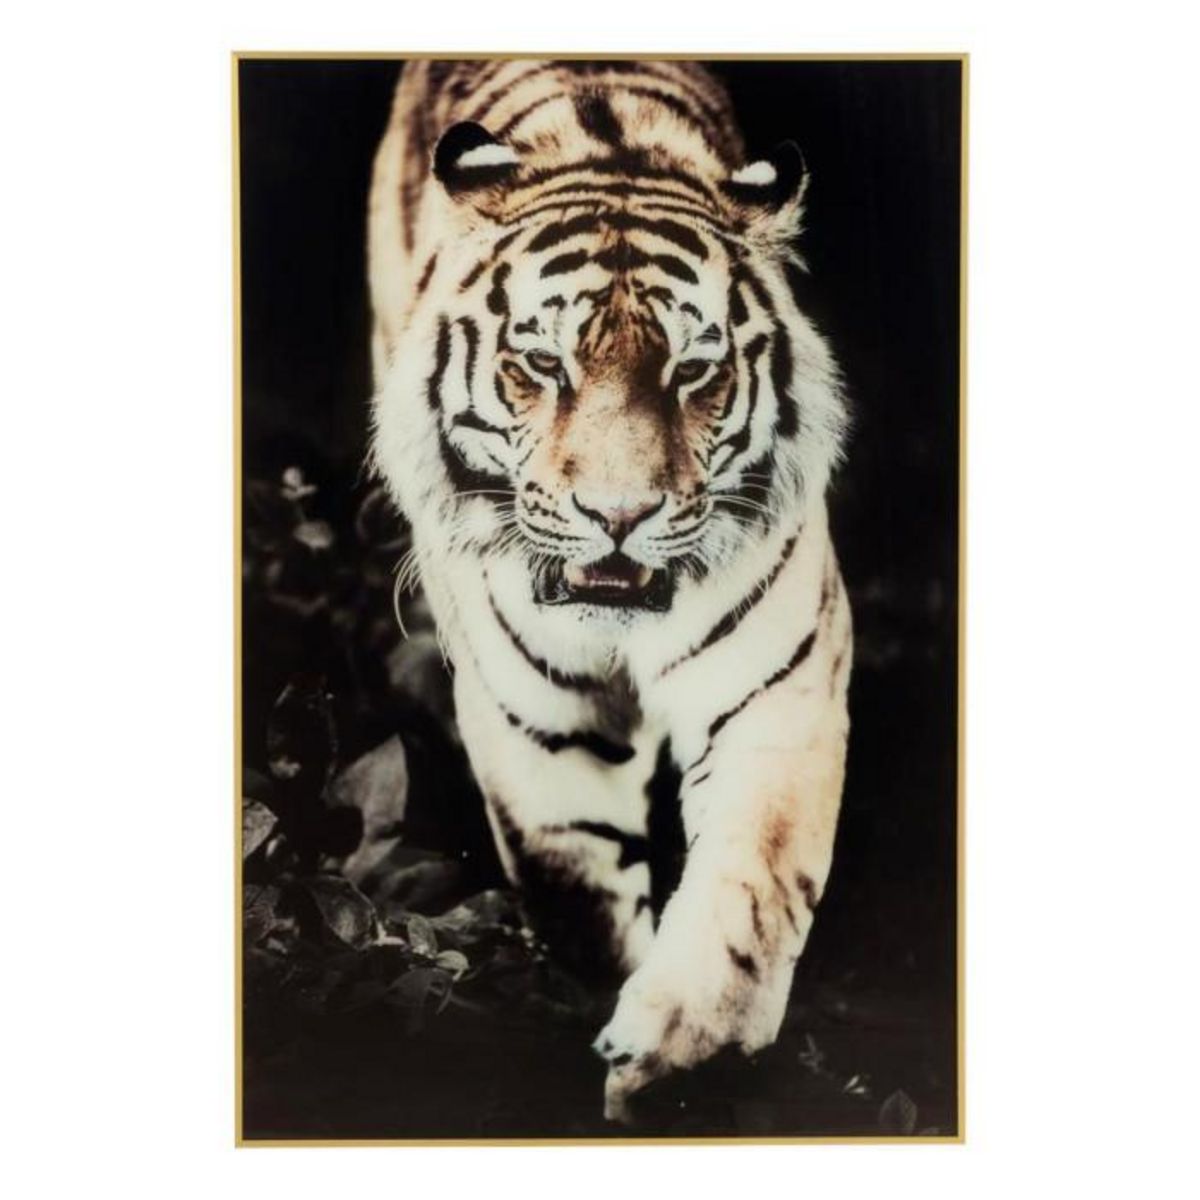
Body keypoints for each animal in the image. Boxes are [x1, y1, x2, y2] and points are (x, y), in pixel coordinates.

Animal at [367, 59, 853, 1123]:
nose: (619, 514)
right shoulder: (539, 728)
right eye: (543, 364)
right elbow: (580, 903)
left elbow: (750, 884)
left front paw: (685, 1054)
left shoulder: (778, 692)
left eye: (695, 369)